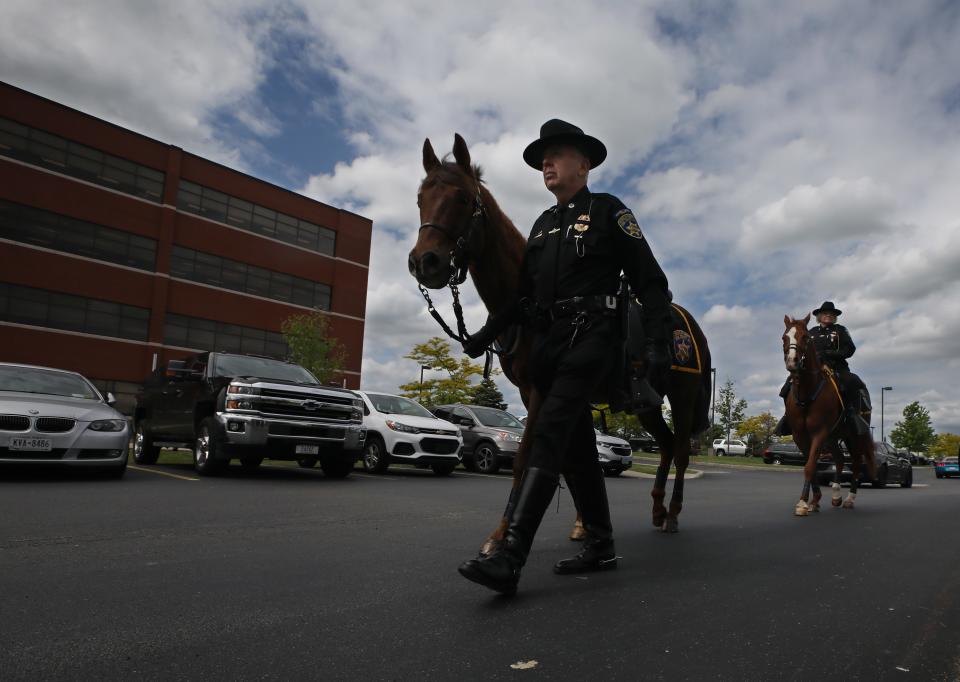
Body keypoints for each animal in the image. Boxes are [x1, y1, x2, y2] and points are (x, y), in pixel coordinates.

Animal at [406, 133, 712, 552]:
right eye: (421, 198)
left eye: (463, 198)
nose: (425, 262)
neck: (533, 308)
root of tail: (688, 323)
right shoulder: (543, 391)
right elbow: (573, 458)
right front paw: (585, 523)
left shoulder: (541, 388)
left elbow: (527, 458)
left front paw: (501, 535)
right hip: (647, 405)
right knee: (665, 445)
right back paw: (656, 508)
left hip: (681, 397)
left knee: (680, 450)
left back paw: (673, 514)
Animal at [784, 316, 872, 512]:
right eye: (784, 337)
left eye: (805, 337)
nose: (792, 361)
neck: (807, 391)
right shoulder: (800, 435)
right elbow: (812, 465)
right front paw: (814, 500)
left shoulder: (819, 432)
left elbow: (810, 466)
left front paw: (803, 503)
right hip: (833, 437)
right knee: (839, 460)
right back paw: (836, 495)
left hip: (854, 435)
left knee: (856, 462)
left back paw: (849, 499)